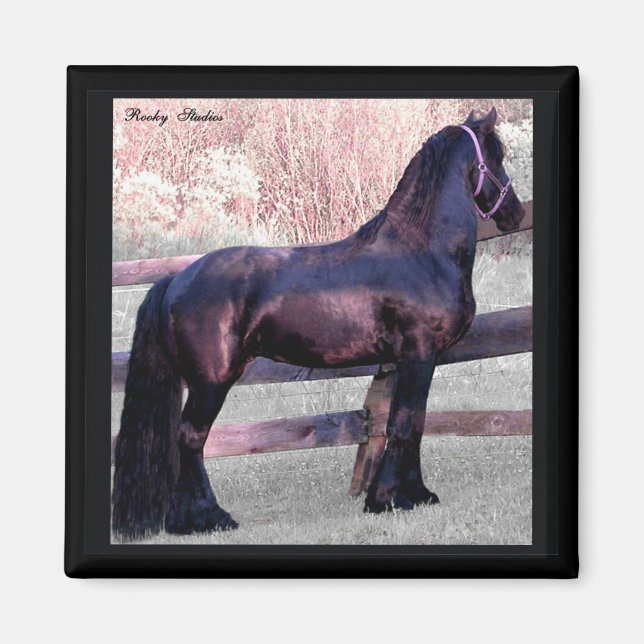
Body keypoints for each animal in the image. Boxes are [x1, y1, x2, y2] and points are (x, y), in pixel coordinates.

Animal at [112, 107, 525, 540]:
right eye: (497, 155)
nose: (516, 213)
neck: (422, 250)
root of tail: (176, 279)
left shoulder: (411, 361)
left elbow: (412, 421)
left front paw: (414, 494)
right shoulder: (419, 354)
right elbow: (404, 424)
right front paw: (388, 499)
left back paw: (184, 522)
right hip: (211, 382)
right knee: (191, 438)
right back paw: (213, 517)